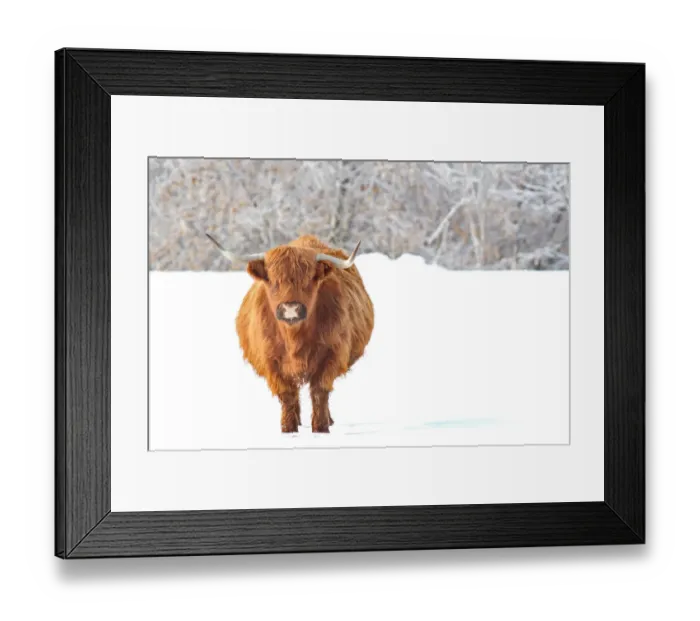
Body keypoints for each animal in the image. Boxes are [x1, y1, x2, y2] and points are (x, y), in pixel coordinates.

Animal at [205, 233, 374, 434]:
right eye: (274, 281)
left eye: (307, 281)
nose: (291, 308)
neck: (294, 338)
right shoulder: (271, 362)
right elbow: (287, 395)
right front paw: (289, 428)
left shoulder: (332, 355)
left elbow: (319, 392)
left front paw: (321, 428)